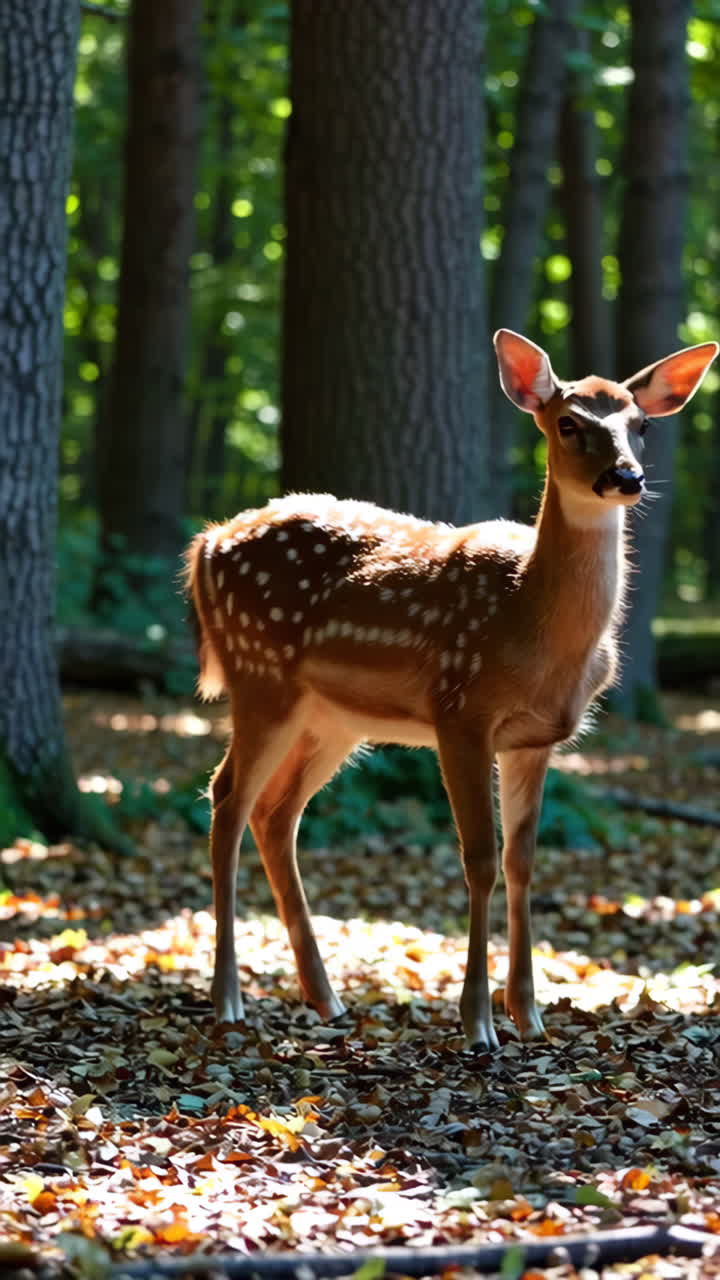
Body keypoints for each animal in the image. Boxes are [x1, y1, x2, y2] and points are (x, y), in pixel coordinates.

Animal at [185, 330, 718, 1050]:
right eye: (568, 423)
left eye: (641, 426)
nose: (626, 477)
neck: (530, 620)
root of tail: (207, 543)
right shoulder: (460, 713)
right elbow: (479, 858)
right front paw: (477, 1023)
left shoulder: (534, 739)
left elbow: (523, 860)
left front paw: (530, 1016)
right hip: (259, 678)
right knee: (228, 799)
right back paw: (228, 998)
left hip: (333, 719)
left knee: (276, 812)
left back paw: (327, 999)